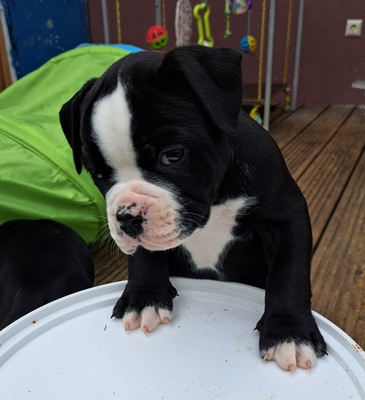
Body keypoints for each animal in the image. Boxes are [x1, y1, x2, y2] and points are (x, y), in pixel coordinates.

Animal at [59, 45, 324, 370]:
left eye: (173, 156)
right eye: (97, 173)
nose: (127, 218)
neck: (215, 199)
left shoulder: (286, 217)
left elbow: (288, 272)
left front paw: (289, 333)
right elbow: (145, 256)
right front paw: (144, 299)